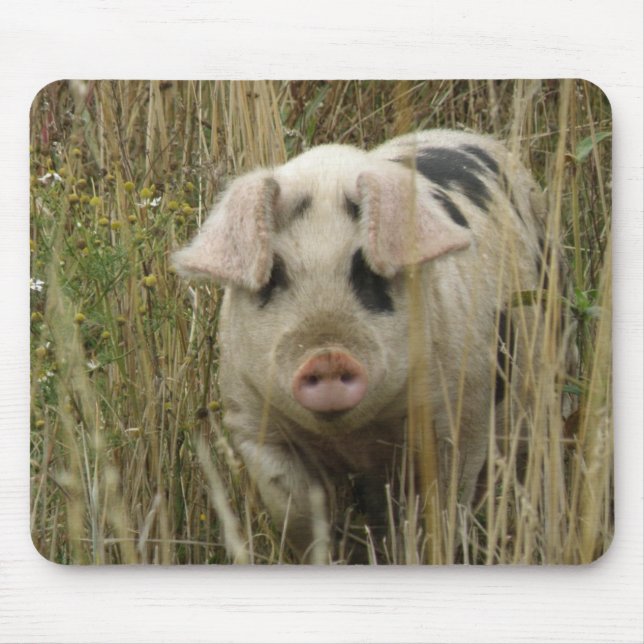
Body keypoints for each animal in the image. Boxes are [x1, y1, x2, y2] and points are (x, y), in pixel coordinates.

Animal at [173, 129, 565, 563]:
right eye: (273, 275)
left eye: (368, 272)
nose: (328, 356)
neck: (355, 438)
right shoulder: (253, 422)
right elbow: (297, 510)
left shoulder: (461, 417)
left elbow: (441, 510)